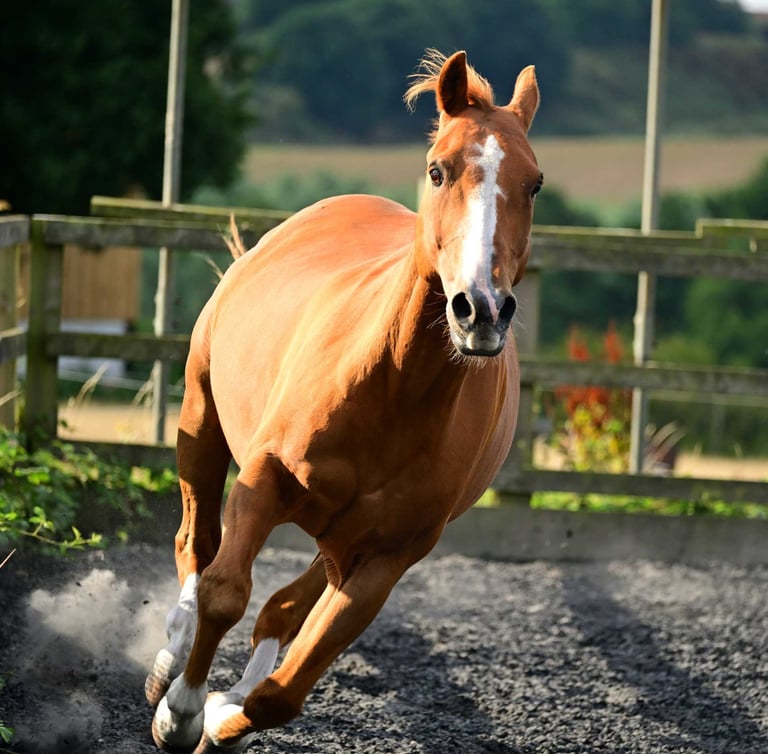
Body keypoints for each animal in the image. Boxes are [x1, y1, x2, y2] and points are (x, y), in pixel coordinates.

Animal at [147, 49, 542, 753]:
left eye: (536, 184)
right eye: (438, 168)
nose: (481, 309)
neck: (390, 391)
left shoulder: (388, 557)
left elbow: (287, 688)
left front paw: (221, 718)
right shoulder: (263, 480)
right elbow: (224, 590)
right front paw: (180, 712)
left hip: (336, 544)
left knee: (281, 607)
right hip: (200, 419)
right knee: (196, 545)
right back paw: (169, 662)